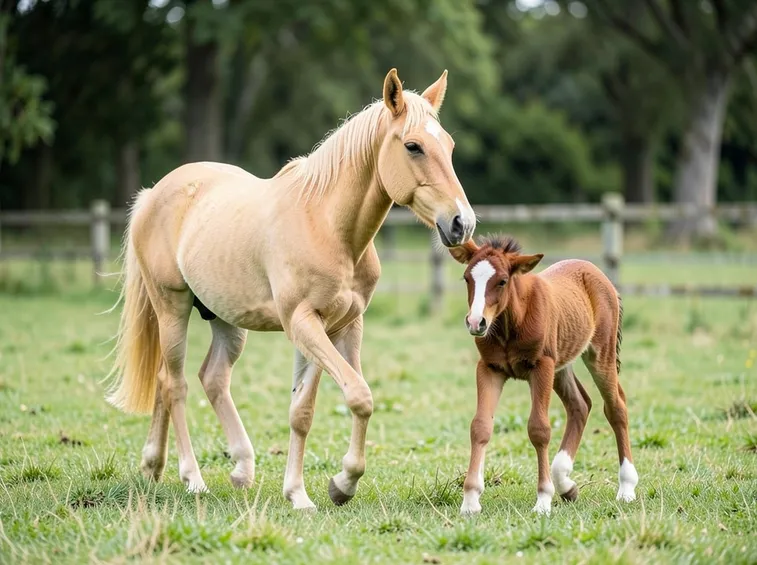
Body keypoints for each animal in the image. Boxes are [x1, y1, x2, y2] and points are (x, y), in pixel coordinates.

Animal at [105, 68, 477, 510]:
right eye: (413, 146)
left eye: (449, 146)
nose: (462, 223)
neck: (327, 224)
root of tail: (152, 195)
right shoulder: (303, 323)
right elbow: (357, 395)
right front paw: (324, 488)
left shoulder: (341, 325)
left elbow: (307, 409)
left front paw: (320, 488)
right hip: (171, 307)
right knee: (172, 384)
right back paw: (192, 477)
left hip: (225, 320)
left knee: (209, 378)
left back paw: (203, 467)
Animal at [448, 235, 638, 515]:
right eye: (467, 278)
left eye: (502, 281)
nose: (476, 322)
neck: (510, 324)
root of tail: (595, 272)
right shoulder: (489, 368)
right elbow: (480, 426)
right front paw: (470, 501)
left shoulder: (541, 366)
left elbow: (539, 429)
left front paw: (543, 500)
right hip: (561, 364)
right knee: (580, 404)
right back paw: (566, 484)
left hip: (598, 354)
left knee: (616, 408)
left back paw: (626, 488)